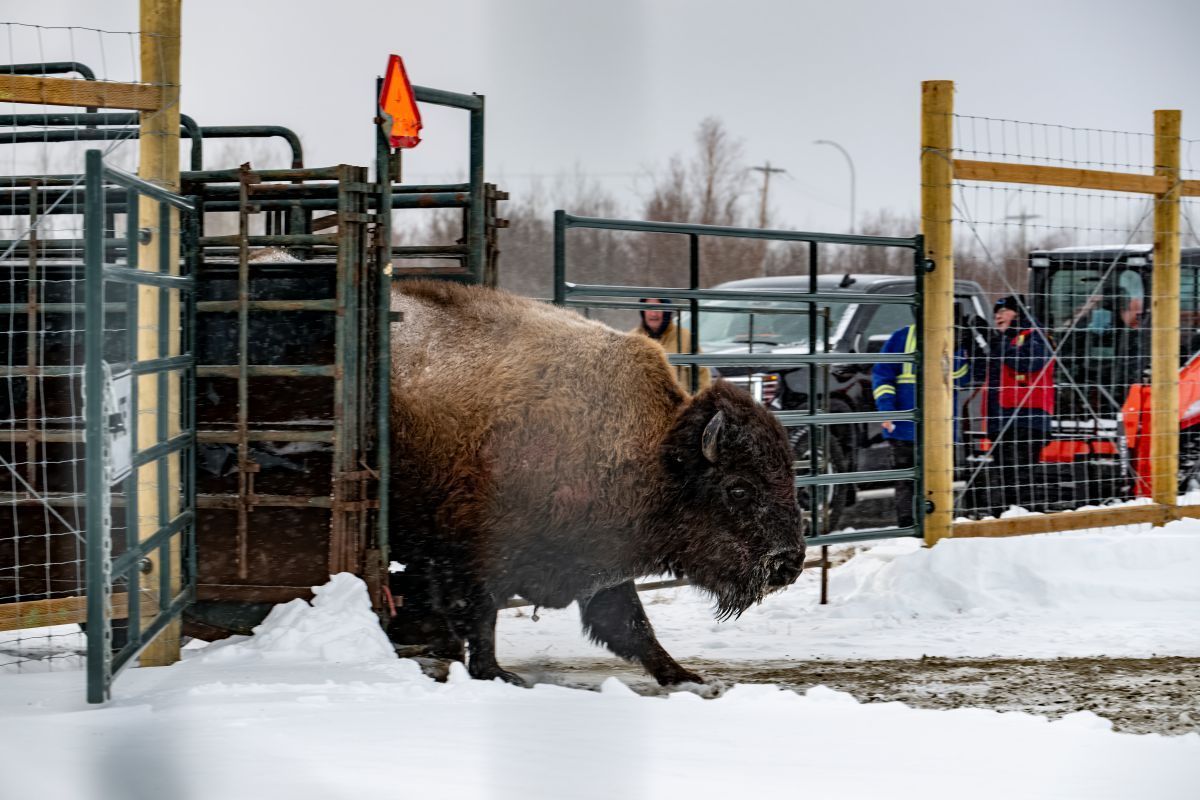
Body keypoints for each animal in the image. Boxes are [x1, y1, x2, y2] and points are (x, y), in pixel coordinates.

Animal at [387, 280, 805, 685]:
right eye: (738, 488)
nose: (789, 564)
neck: (657, 454)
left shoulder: (604, 567)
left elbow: (631, 625)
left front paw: (685, 677)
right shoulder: (472, 558)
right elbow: (481, 617)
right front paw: (497, 674)